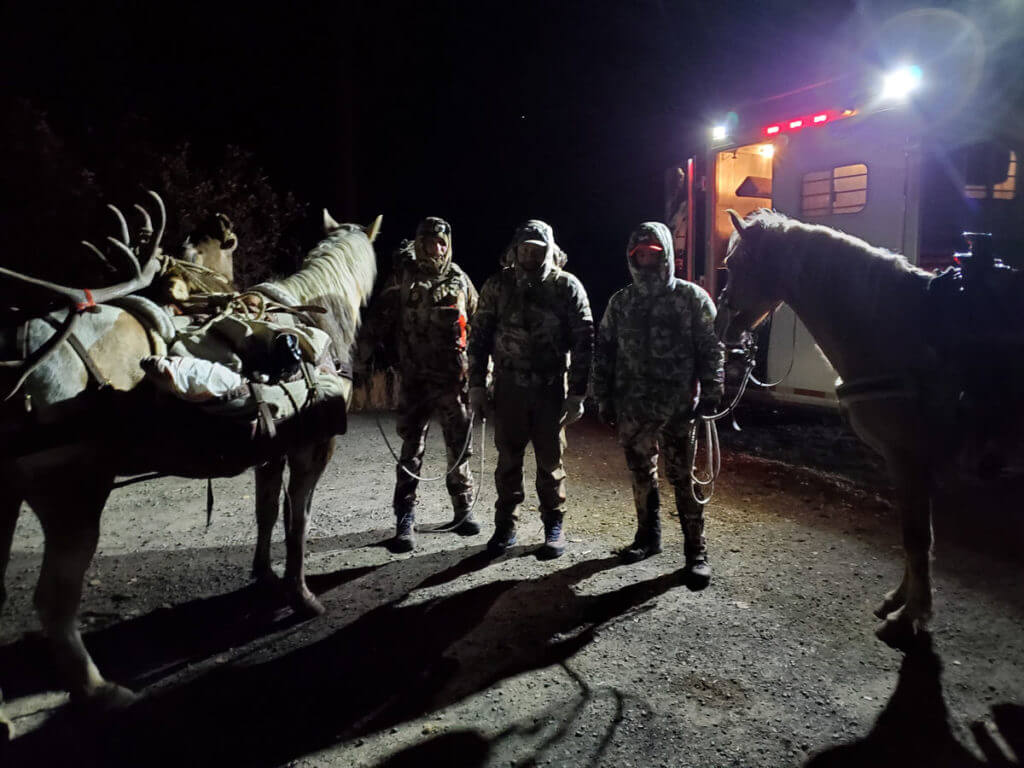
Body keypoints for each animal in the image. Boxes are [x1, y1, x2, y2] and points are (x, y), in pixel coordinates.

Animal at [1, 202, 376, 716]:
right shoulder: (311, 448)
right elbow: (297, 520)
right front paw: (301, 597)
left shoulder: (273, 450)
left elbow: (265, 512)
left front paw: (264, 576)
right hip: (73, 500)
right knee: (54, 601)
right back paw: (102, 691)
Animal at [720, 208, 1024, 651]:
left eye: (734, 264)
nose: (721, 326)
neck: (901, 330)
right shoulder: (909, 464)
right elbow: (916, 537)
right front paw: (900, 600)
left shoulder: (908, 458)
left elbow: (916, 537)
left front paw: (910, 615)